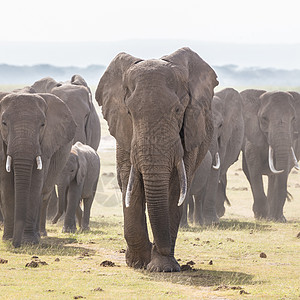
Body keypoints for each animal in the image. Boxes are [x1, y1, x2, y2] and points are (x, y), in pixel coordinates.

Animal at [0, 92, 77, 247]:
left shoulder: (46, 144)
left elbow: (35, 183)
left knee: (42, 194)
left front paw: (29, 241)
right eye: (3, 123)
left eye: (43, 125)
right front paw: (8, 239)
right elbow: (6, 185)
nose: (16, 245)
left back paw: (38, 235)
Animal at [95, 47, 218, 272]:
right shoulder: (125, 132)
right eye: (129, 112)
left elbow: (176, 186)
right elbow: (130, 181)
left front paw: (162, 267)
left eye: (178, 110)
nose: (158, 247)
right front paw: (138, 262)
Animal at [241, 88, 300, 221]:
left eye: (294, 119)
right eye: (264, 118)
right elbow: (253, 164)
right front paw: (261, 216)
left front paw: (277, 218)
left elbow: (285, 165)